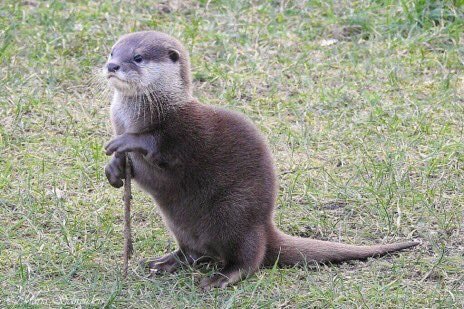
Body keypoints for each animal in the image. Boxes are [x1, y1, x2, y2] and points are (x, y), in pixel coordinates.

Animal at [103, 31, 418, 288]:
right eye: (112, 51)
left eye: (138, 57)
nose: (112, 66)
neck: (138, 115)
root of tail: (265, 228)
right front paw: (114, 169)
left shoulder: (184, 131)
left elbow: (160, 146)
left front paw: (127, 142)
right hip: (182, 225)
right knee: (193, 252)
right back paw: (164, 262)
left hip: (235, 213)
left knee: (249, 259)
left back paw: (221, 278)